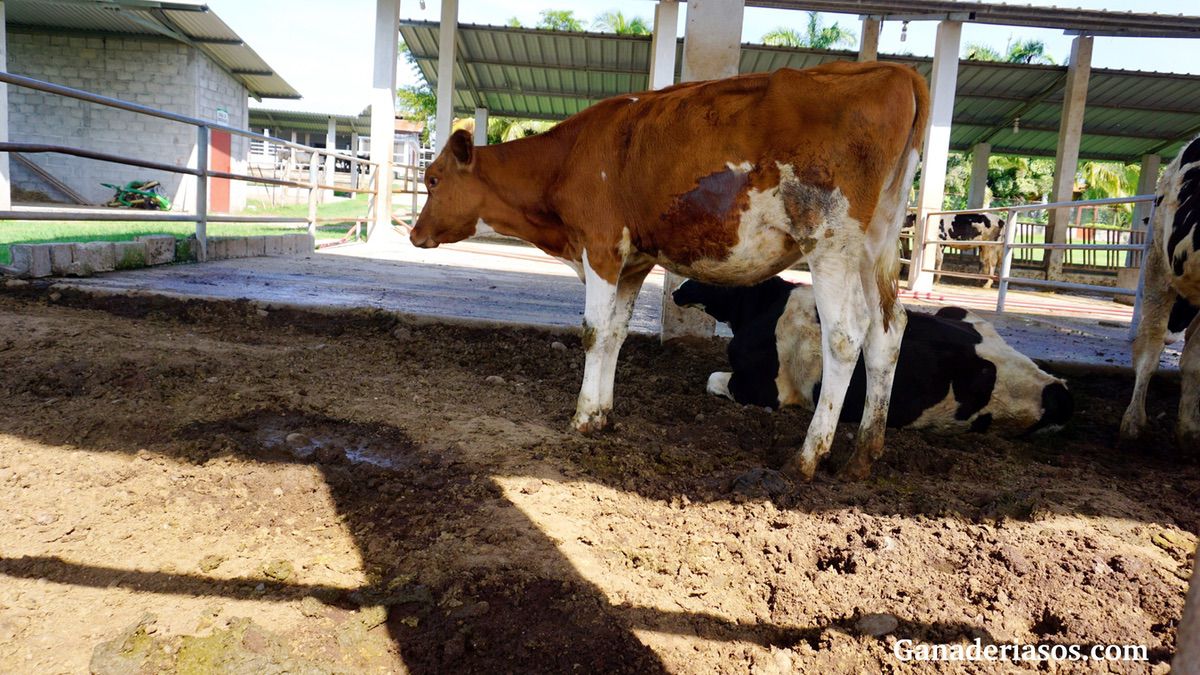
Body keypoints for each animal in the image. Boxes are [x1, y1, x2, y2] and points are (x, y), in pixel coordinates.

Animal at [410, 61, 926, 478]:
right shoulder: (634, 262)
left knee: (845, 335)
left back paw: (807, 457)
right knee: (887, 332)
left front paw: (581, 417)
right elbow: (615, 334)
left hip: (829, 240)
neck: (567, 159)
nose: (414, 234)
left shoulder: (600, 246)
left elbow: (593, 332)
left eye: (432, 179)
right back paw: (864, 455)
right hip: (875, 245)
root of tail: (893, 72)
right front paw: (603, 415)